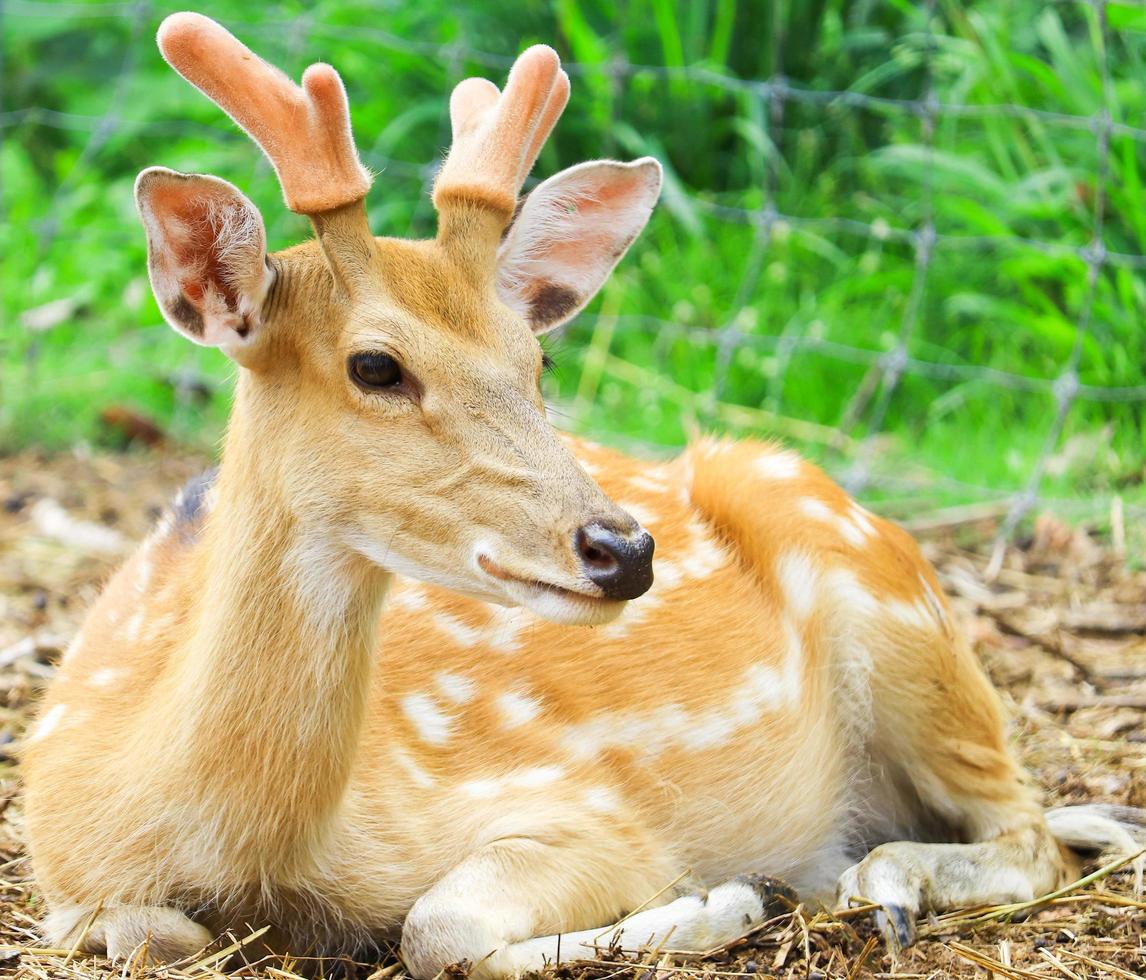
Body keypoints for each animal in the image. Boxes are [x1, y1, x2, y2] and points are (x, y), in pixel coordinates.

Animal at [20, 11, 1146, 976]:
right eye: (375, 366)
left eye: (538, 362)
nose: (625, 549)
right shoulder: (63, 873)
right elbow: (147, 932)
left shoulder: (589, 809)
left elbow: (437, 925)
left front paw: (721, 899)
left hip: (901, 613)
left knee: (1036, 832)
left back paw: (878, 881)